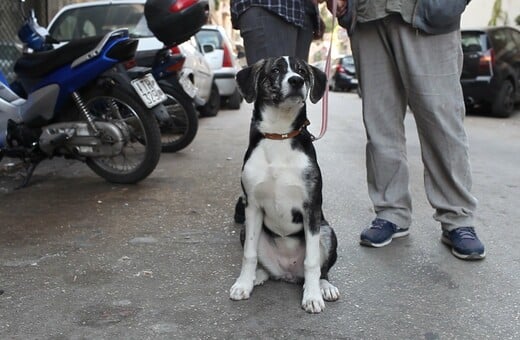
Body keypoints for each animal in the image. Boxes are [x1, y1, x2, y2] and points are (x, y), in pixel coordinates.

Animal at [230, 55, 340, 314]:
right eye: (276, 70)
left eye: (302, 71)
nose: (296, 81)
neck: (278, 136)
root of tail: (288, 273)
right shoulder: (252, 206)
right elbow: (248, 255)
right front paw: (243, 284)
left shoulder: (311, 208)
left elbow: (312, 261)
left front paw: (312, 297)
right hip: (246, 229)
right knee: (265, 267)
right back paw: (257, 277)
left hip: (327, 231)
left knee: (321, 270)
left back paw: (323, 286)